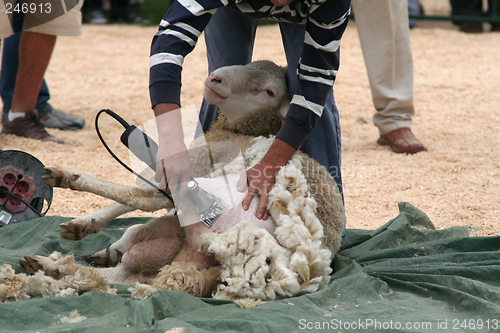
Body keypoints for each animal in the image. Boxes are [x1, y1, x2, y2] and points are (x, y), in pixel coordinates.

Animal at [13, 59, 346, 300]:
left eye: (268, 91)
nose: (215, 78)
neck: (240, 130)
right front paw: (87, 226)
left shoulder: (192, 166)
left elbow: (140, 194)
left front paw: (85, 217)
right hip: (173, 246)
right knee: (121, 273)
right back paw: (51, 267)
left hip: (209, 198)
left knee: (141, 202)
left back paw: (67, 179)